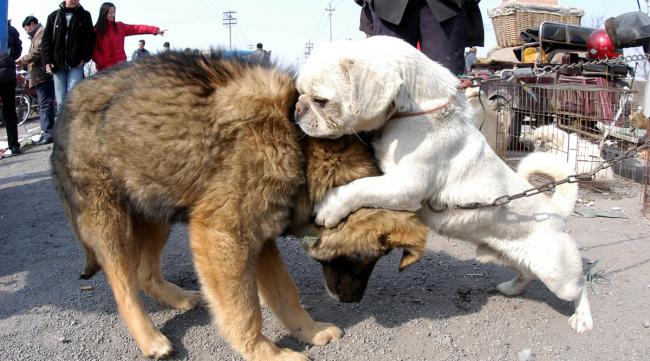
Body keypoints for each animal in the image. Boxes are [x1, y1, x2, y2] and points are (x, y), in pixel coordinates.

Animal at [50, 51, 426, 360]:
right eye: (369, 258)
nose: (351, 302)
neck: (300, 144)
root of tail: (68, 100)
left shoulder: (261, 236)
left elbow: (284, 292)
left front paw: (309, 331)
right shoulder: (224, 235)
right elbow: (245, 309)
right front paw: (264, 352)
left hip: (156, 198)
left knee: (143, 271)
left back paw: (177, 299)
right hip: (109, 215)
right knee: (122, 283)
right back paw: (150, 339)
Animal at [294, 35, 592, 332]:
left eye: (321, 101)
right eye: (300, 93)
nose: (298, 108)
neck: (412, 112)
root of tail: (556, 210)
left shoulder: (405, 186)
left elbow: (360, 188)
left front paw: (330, 206)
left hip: (557, 274)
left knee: (579, 288)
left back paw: (583, 319)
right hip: (509, 255)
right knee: (526, 273)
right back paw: (512, 287)